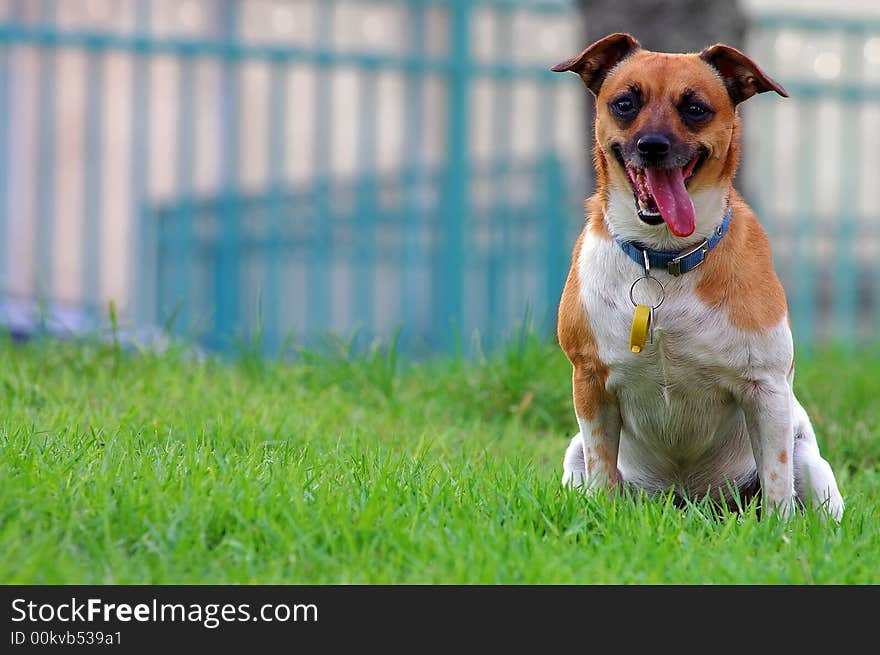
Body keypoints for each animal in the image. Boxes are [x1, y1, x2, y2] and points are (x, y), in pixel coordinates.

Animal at [552, 34, 844, 524]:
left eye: (695, 109)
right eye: (625, 103)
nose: (652, 145)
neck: (665, 257)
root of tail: (690, 503)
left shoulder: (766, 390)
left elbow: (778, 482)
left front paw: (779, 531)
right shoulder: (590, 382)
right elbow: (601, 470)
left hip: (810, 462)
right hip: (574, 456)